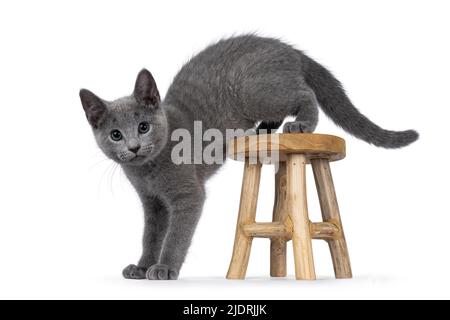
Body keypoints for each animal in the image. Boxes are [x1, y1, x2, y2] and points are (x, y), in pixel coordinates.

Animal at [78, 35, 418, 280]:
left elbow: (176, 234)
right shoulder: (152, 203)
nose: (134, 146)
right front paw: (142, 265)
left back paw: (300, 124)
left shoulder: (188, 194)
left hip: (252, 90)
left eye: (143, 127)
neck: (147, 171)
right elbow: (150, 235)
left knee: (303, 93)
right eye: (116, 135)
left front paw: (164, 268)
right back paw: (260, 131)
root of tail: (288, 50)